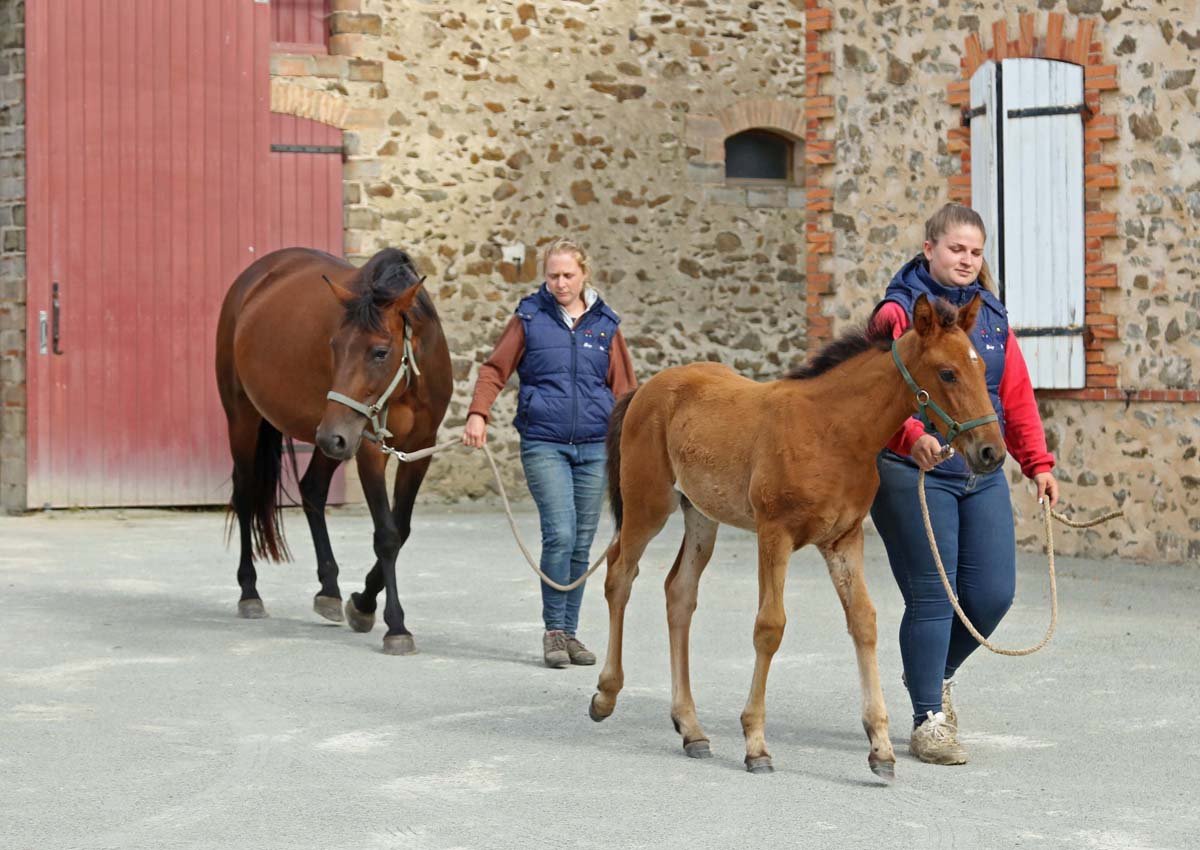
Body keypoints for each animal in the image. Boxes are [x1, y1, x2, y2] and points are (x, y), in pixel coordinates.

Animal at [214, 246, 452, 655]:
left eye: (380, 352)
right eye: (334, 347)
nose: (330, 436)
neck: (406, 383)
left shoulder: (420, 449)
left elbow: (401, 530)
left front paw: (363, 603)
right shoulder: (368, 449)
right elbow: (386, 535)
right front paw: (395, 625)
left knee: (312, 489)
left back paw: (328, 590)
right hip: (247, 418)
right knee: (244, 495)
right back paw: (250, 592)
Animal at [587, 293, 1005, 779]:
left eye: (982, 367)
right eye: (947, 372)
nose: (991, 453)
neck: (833, 431)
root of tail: (644, 390)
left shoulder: (844, 539)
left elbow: (864, 621)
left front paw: (881, 749)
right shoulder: (775, 533)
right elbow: (770, 626)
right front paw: (756, 744)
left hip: (701, 515)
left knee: (679, 592)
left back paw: (691, 729)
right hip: (648, 504)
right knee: (619, 574)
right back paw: (605, 695)